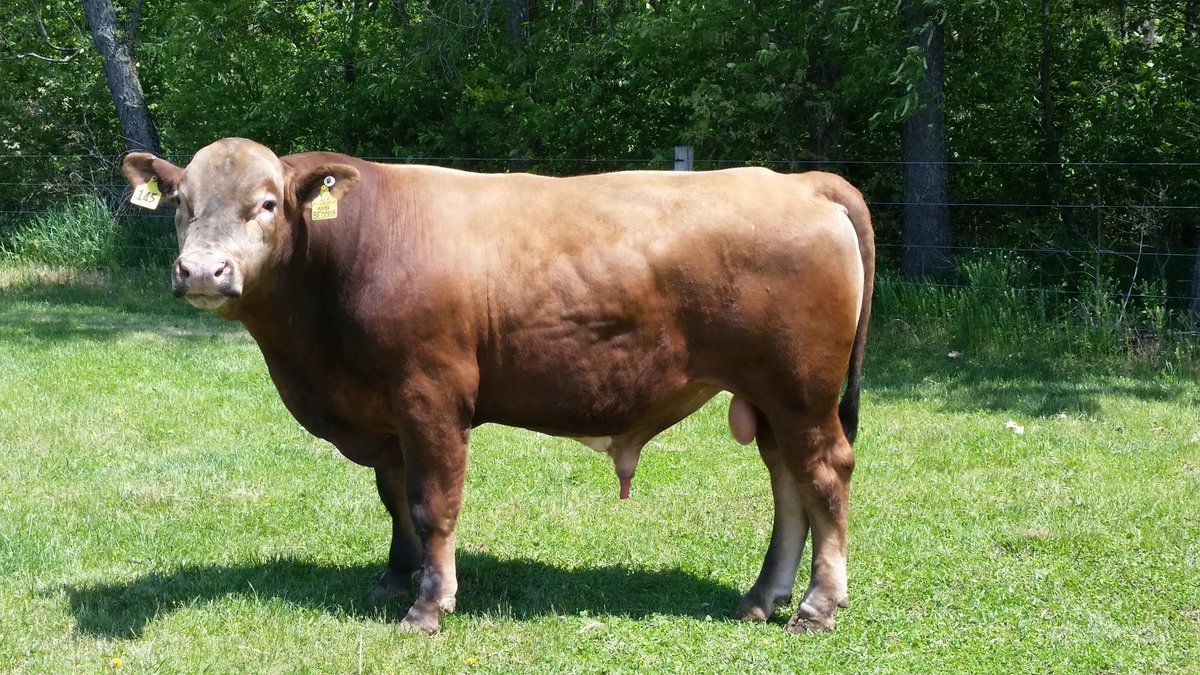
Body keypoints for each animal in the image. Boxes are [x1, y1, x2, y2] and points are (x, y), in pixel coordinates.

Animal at [121, 138, 874, 635]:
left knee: (825, 476)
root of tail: (800, 182)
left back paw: (817, 605)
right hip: (772, 400)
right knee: (788, 486)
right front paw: (395, 576)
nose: (201, 271)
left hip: (801, 392)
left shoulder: (429, 394)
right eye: (180, 203)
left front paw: (428, 605)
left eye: (268, 203)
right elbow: (394, 498)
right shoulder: (385, 412)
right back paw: (762, 596)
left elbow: (433, 503)